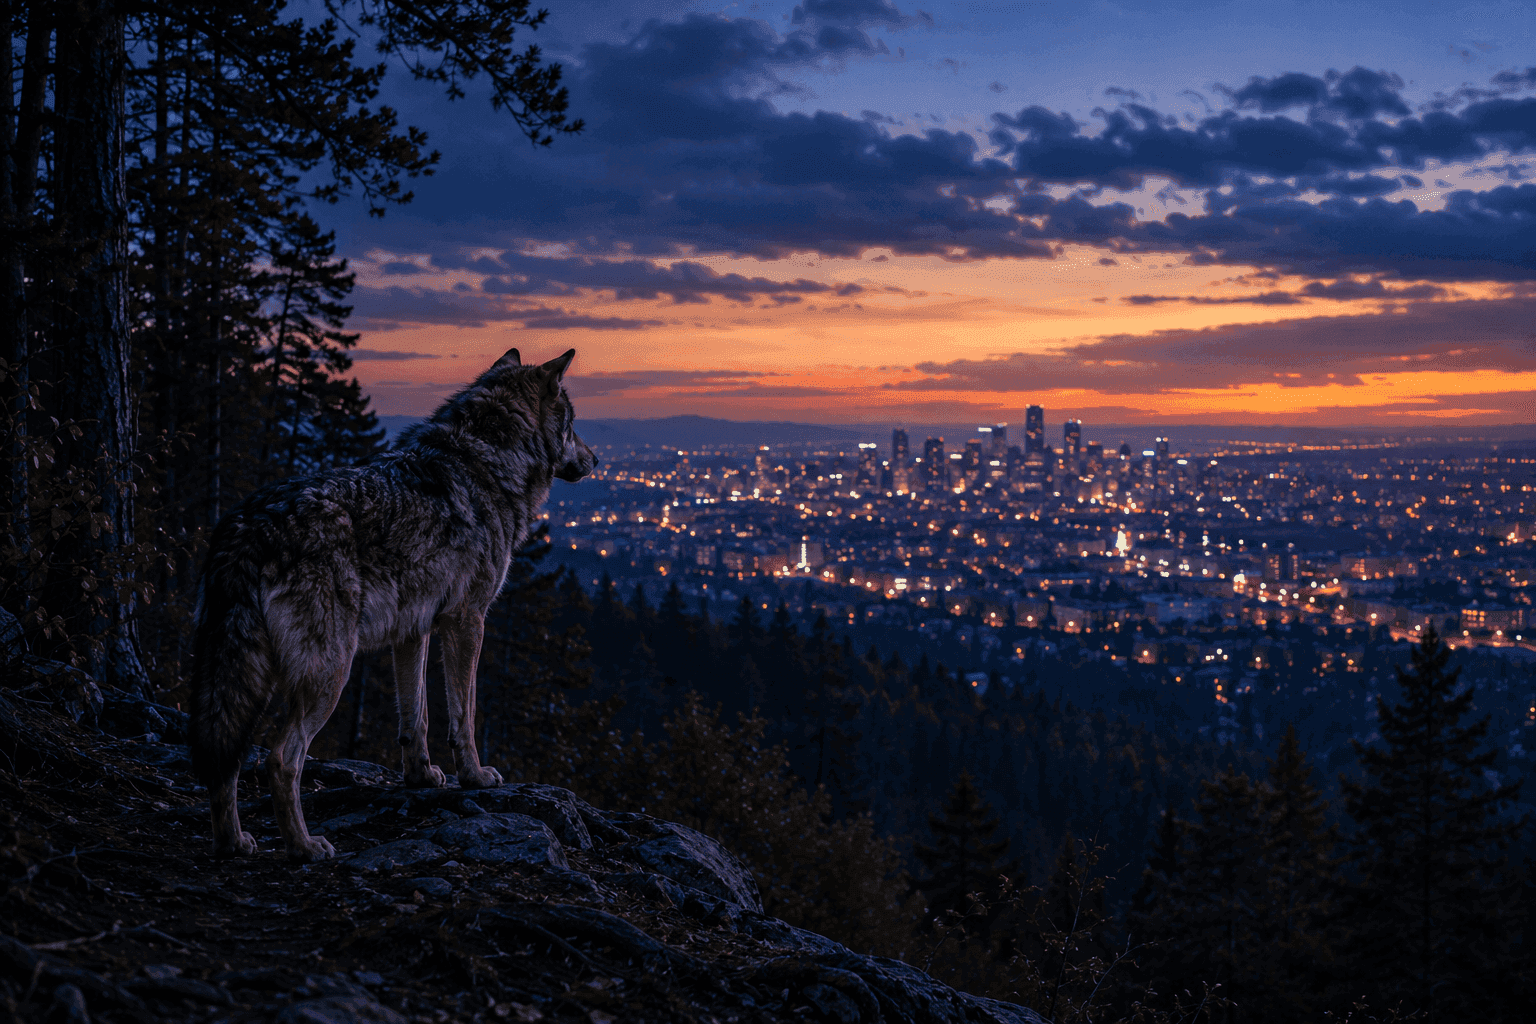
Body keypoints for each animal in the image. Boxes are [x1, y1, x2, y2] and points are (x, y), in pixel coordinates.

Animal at [187, 348, 597, 862]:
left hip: (246, 679)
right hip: (328, 674)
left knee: (229, 759)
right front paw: (474, 776)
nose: (596, 459)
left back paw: (234, 843)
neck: (487, 459)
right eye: (573, 423)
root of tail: (247, 527)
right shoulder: (467, 621)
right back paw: (304, 846)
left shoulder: (413, 629)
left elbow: (414, 716)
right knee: (281, 759)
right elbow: (465, 712)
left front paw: (420, 776)